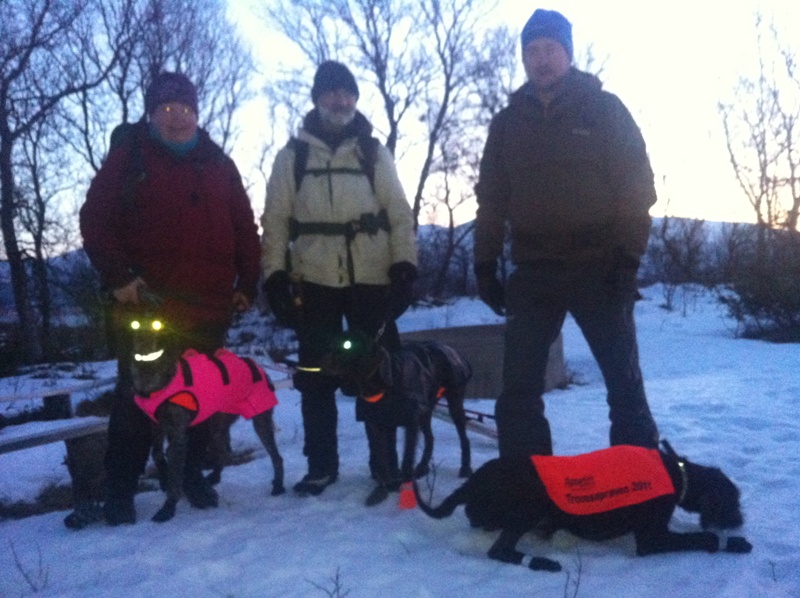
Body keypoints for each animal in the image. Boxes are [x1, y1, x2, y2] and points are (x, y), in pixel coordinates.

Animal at [128, 316, 284, 524]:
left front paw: (168, 509)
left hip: (260, 420)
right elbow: (157, 454)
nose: (142, 340)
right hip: (216, 424)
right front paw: (164, 479)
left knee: (277, 457)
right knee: (222, 453)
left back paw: (278, 486)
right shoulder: (157, 426)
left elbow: (175, 477)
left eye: (157, 325)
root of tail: (259, 368)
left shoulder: (178, 435)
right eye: (134, 324)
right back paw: (214, 478)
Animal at [320, 330, 472, 508]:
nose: (321, 363)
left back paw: (465, 468)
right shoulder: (375, 424)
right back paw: (422, 467)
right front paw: (382, 490)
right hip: (425, 409)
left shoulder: (411, 422)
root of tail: (450, 348)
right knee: (430, 437)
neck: (382, 385)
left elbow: (406, 460)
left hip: (453, 401)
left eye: (347, 345)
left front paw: (406, 492)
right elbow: (381, 461)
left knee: (463, 437)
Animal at [416, 442, 752, 576]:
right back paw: (542, 562)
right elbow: (704, 537)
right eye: (734, 500)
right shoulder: (651, 539)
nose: (739, 521)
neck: (677, 474)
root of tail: (472, 483)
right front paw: (734, 542)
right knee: (499, 550)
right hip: (530, 502)